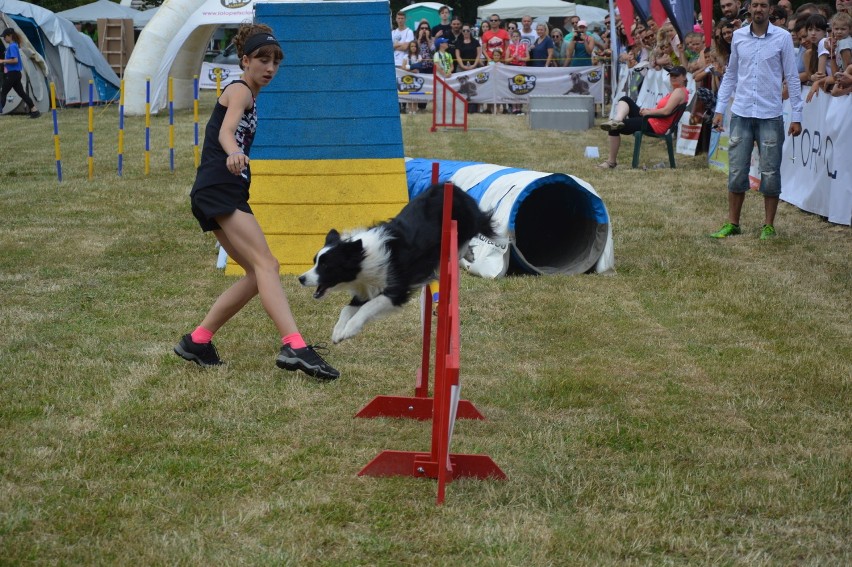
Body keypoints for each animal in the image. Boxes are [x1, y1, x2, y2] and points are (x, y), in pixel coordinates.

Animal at [300, 184, 496, 344]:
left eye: (326, 266)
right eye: (315, 261)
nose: (301, 278)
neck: (363, 258)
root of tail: (456, 189)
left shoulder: (397, 288)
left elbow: (369, 306)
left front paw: (349, 330)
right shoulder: (366, 288)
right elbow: (347, 309)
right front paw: (338, 332)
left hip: (460, 226)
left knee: (469, 235)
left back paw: (464, 252)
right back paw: (470, 254)